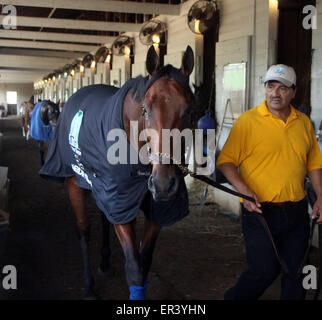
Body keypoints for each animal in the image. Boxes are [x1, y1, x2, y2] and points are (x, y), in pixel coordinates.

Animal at [40, 45, 196, 300]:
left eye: (190, 110)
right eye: (145, 109)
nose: (163, 184)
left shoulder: (153, 209)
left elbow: (145, 262)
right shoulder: (122, 203)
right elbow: (134, 267)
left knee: (104, 217)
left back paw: (104, 263)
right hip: (75, 183)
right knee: (83, 230)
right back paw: (89, 286)